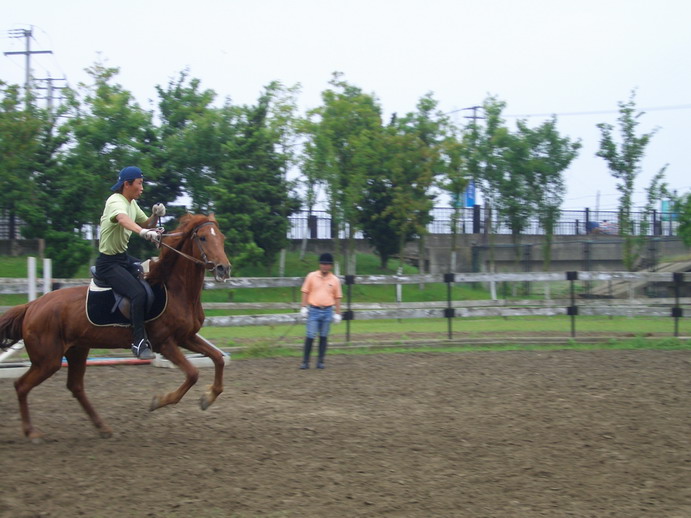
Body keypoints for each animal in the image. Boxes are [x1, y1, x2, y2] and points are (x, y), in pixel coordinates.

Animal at [0, 212, 232, 442]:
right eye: (202, 238)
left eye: (221, 238)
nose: (224, 268)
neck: (175, 289)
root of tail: (32, 306)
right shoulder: (165, 343)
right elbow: (192, 373)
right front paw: (160, 400)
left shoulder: (187, 337)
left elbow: (218, 359)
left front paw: (209, 397)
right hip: (48, 360)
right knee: (21, 386)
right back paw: (31, 432)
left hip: (76, 351)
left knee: (75, 387)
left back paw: (102, 427)